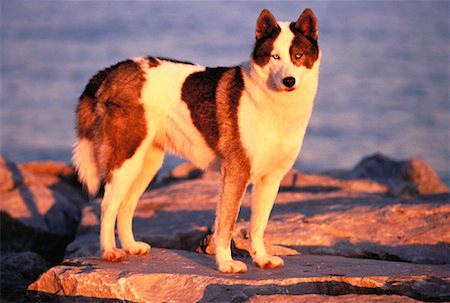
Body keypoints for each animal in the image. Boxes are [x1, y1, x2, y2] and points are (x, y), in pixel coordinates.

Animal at [73, 7, 320, 274]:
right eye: (275, 56)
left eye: (298, 55)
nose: (289, 81)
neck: (270, 101)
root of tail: (113, 70)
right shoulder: (235, 174)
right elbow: (226, 225)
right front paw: (226, 264)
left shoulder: (271, 179)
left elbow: (258, 226)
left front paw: (262, 259)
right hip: (126, 161)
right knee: (108, 205)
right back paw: (109, 251)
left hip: (146, 165)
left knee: (126, 205)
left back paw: (130, 246)